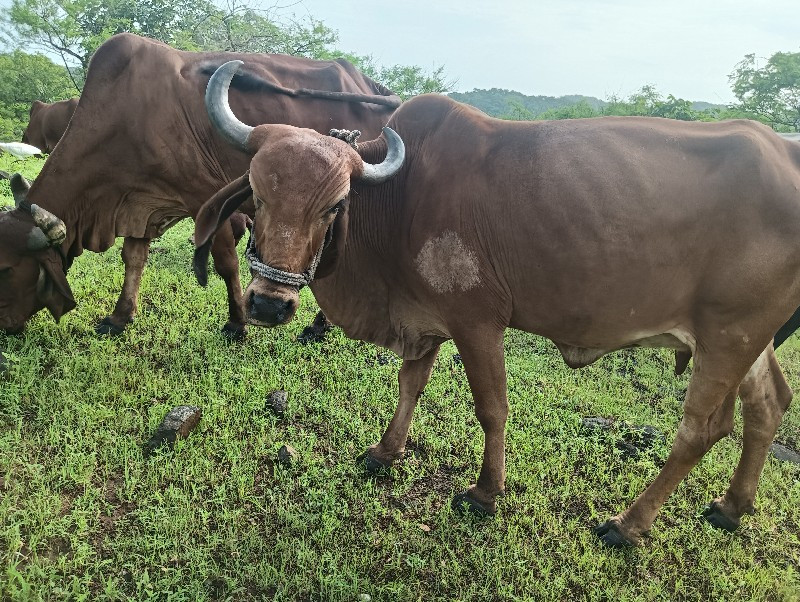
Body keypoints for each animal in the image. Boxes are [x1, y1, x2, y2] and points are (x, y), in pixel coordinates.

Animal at [0, 32, 400, 338]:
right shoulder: (141, 201)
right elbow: (133, 257)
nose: (5, 327)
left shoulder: (207, 199)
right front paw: (119, 316)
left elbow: (226, 263)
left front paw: (237, 323)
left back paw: (318, 327)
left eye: (6, 270)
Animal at [194, 61, 800, 544]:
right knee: (768, 405)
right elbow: (410, 385)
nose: (269, 306)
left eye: (334, 204)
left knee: (701, 430)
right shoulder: (423, 318)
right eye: (258, 192)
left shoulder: (477, 322)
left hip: (728, 337)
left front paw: (485, 492)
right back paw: (731, 506)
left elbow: (491, 407)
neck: (398, 195)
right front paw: (386, 452)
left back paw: (629, 524)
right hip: (747, 341)